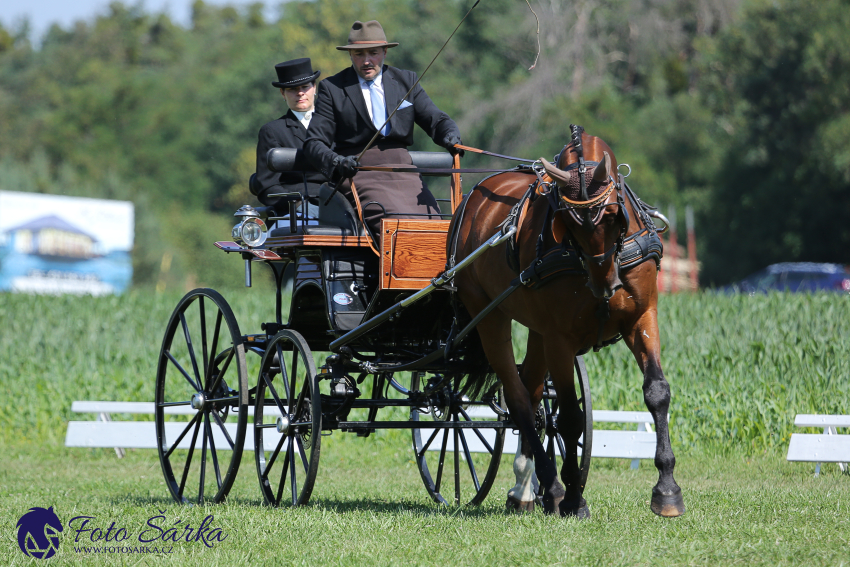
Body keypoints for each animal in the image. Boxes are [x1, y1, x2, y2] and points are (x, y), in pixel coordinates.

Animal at [450, 129, 684, 520]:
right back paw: (552, 486)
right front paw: (575, 498)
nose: (606, 283)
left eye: (613, 215)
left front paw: (667, 490)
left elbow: (657, 392)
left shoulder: (643, 316)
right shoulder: (560, 338)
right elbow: (572, 416)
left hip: (535, 329)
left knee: (531, 393)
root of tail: (472, 201)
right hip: (489, 315)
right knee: (518, 397)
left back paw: (525, 487)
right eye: (568, 223)